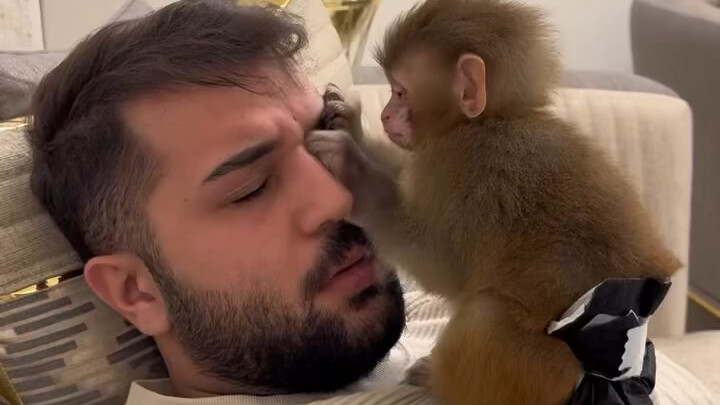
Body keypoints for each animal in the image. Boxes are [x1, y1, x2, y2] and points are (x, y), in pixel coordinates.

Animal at [306, 0, 680, 404]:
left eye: (400, 92)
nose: (385, 115)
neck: (485, 120)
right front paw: (350, 126)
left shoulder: (468, 165)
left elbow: (443, 263)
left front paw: (354, 170)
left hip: (542, 378)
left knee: (485, 317)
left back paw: (438, 382)